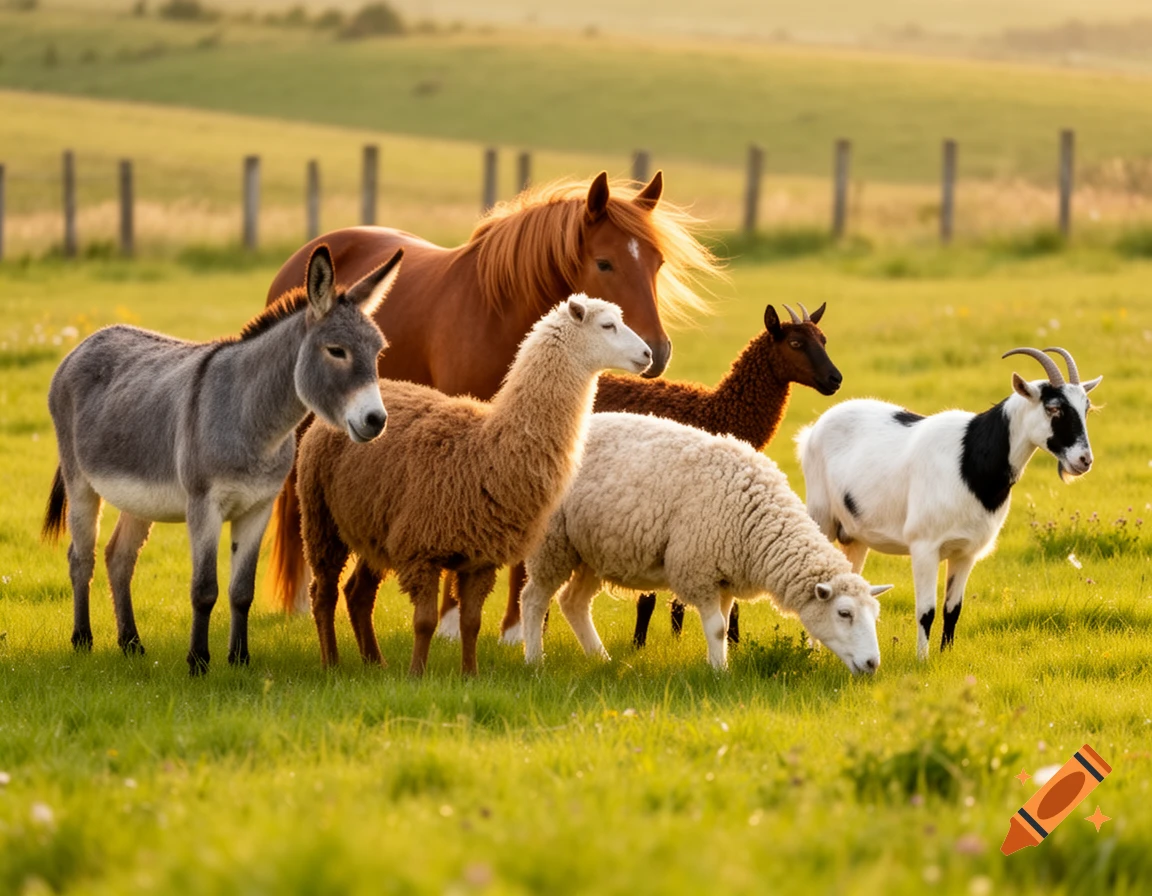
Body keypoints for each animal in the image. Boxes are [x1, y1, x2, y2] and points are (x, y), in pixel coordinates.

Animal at [43, 246, 401, 674]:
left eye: (378, 353)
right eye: (336, 351)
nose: (376, 421)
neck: (255, 423)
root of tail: (90, 339)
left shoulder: (258, 508)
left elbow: (242, 590)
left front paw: (239, 658)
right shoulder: (204, 506)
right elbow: (204, 589)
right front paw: (198, 661)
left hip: (139, 497)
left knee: (119, 558)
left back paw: (131, 643)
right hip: (80, 482)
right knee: (81, 557)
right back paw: (82, 640)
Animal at [284, 296, 653, 676]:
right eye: (607, 325)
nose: (648, 355)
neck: (487, 448)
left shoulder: (480, 560)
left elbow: (471, 623)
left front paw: (469, 675)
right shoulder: (421, 551)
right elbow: (425, 622)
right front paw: (417, 675)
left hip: (376, 528)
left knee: (358, 594)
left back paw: (376, 663)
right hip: (321, 516)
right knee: (324, 592)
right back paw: (332, 663)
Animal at [519, 412, 893, 673]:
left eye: (874, 615)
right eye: (844, 613)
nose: (873, 664)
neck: (757, 521)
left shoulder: (725, 578)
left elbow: (723, 627)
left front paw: (717, 665)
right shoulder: (697, 570)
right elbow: (715, 628)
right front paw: (720, 673)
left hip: (591, 551)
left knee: (573, 603)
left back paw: (601, 659)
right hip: (553, 542)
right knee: (534, 599)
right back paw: (535, 660)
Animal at [797, 346, 1101, 661]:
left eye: (1086, 408)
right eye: (1054, 408)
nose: (1083, 460)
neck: (969, 459)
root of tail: (812, 431)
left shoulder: (966, 552)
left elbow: (952, 610)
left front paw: (946, 655)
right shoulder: (924, 547)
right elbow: (926, 611)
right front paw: (922, 660)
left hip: (855, 536)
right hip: (821, 517)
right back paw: (812, 652)